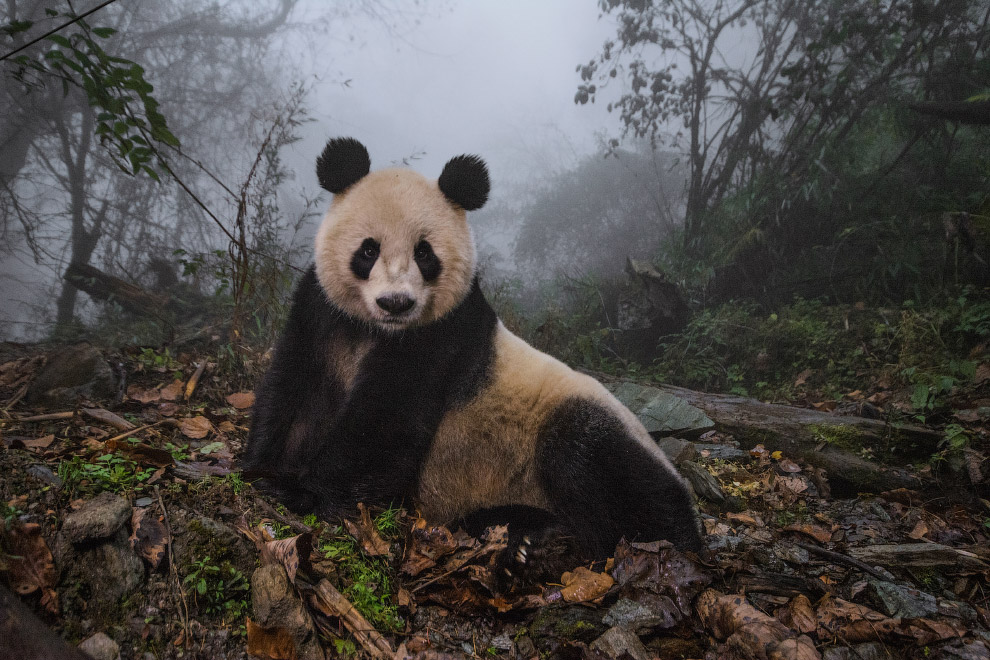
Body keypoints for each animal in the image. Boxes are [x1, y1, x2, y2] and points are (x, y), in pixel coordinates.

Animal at [244, 138, 700, 576]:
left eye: (424, 253)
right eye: (368, 250)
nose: (396, 303)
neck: (376, 330)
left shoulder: (442, 335)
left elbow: (385, 423)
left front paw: (301, 490)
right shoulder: (320, 313)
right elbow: (293, 388)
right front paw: (262, 468)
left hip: (580, 423)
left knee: (603, 468)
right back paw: (528, 537)